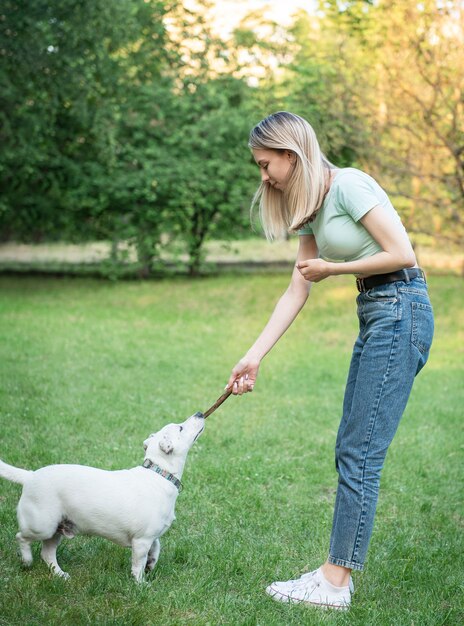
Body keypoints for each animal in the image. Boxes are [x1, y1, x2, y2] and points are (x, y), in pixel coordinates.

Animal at [0, 410, 205, 580]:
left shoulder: (150, 537)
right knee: (21, 537)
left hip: (56, 528)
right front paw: (141, 585)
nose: (200, 413)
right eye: (180, 427)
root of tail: (29, 476)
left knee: (47, 554)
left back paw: (60, 574)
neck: (160, 473)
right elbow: (137, 566)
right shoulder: (141, 541)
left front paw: (152, 563)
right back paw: (27, 560)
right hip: (41, 525)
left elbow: (157, 547)